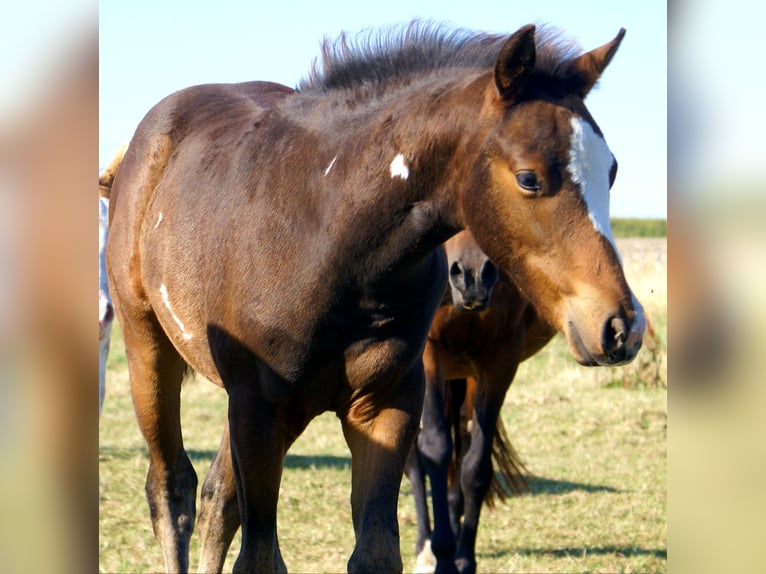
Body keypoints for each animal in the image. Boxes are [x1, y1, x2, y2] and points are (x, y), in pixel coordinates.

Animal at [406, 229, 556, 574]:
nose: (473, 276)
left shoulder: (499, 360)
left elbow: (475, 466)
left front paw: (463, 558)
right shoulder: (431, 352)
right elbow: (435, 448)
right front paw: (440, 554)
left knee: (461, 438)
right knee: (415, 458)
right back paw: (425, 547)